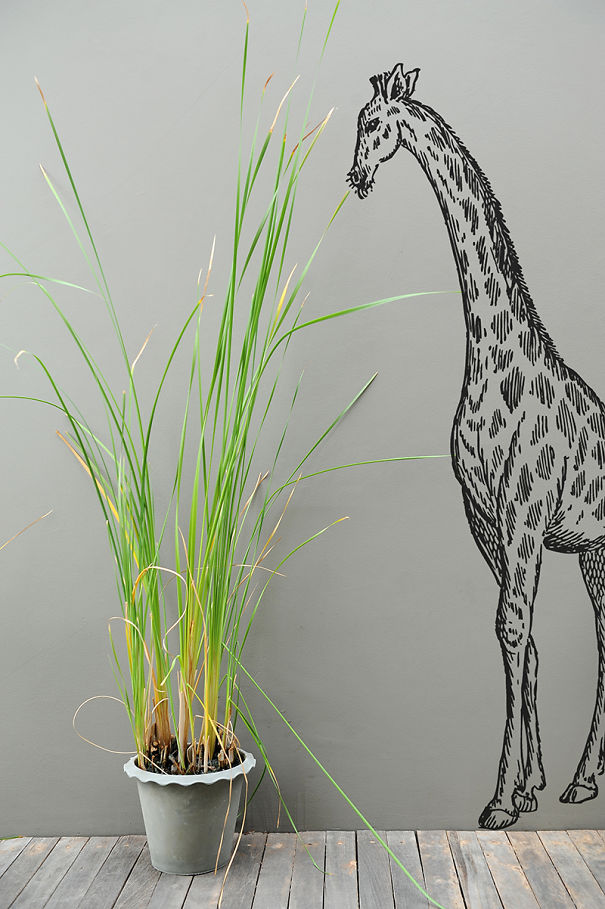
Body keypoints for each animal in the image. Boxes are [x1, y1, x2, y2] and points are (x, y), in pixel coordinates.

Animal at [347, 64, 605, 830]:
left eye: (373, 124)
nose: (356, 176)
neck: (497, 357)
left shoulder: (524, 512)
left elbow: (512, 628)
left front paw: (497, 800)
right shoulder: (483, 515)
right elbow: (522, 642)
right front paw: (527, 786)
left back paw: (584, 779)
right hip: (591, 550)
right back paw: (578, 780)